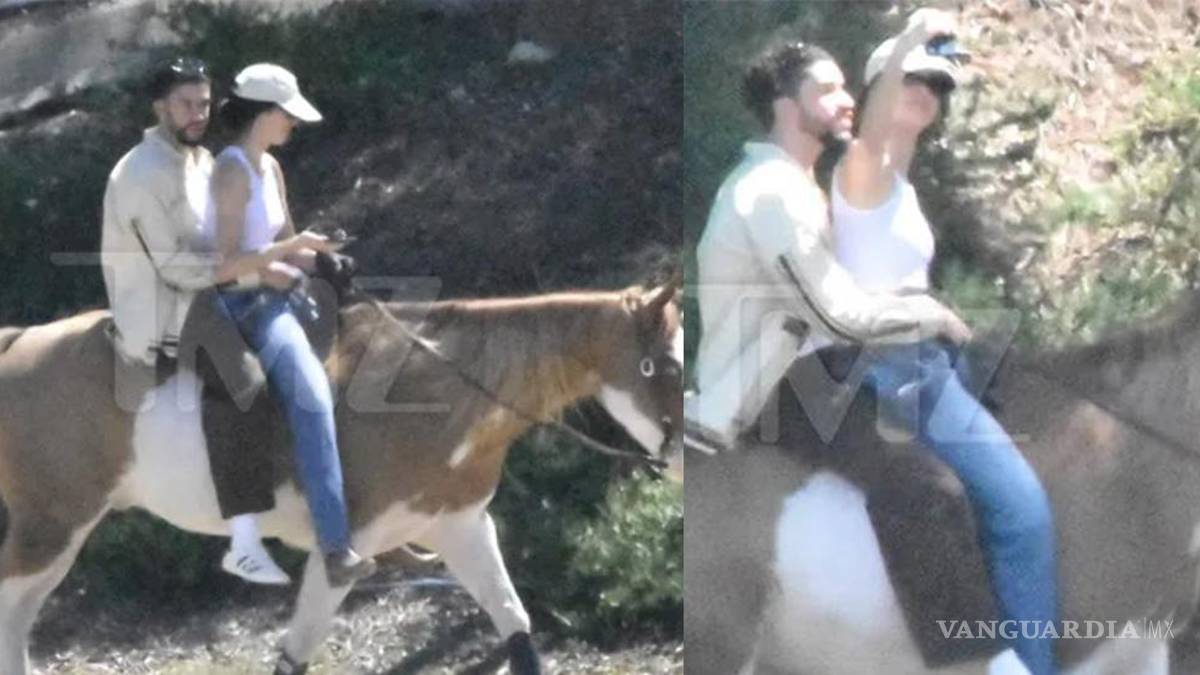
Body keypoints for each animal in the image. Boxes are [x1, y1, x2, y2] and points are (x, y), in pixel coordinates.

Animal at [0, 278, 683, 675]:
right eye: (661, 365)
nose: (681, 455)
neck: (428, 395)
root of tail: (18, 342)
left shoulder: (461, 527)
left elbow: (516, 626)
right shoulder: (342, 556)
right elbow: (294, 657)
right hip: (50, 527)